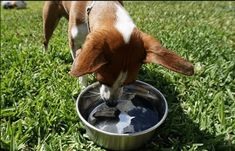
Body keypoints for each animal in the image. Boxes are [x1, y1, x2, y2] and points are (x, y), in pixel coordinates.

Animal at [43, 0, 194, 105]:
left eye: (128, 83)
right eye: (102, 80)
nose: (111, 104)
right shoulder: (74, 43)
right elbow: (80, 67)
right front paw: (82, 86)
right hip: (49, 19)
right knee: (45, 40)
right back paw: (46, 54)